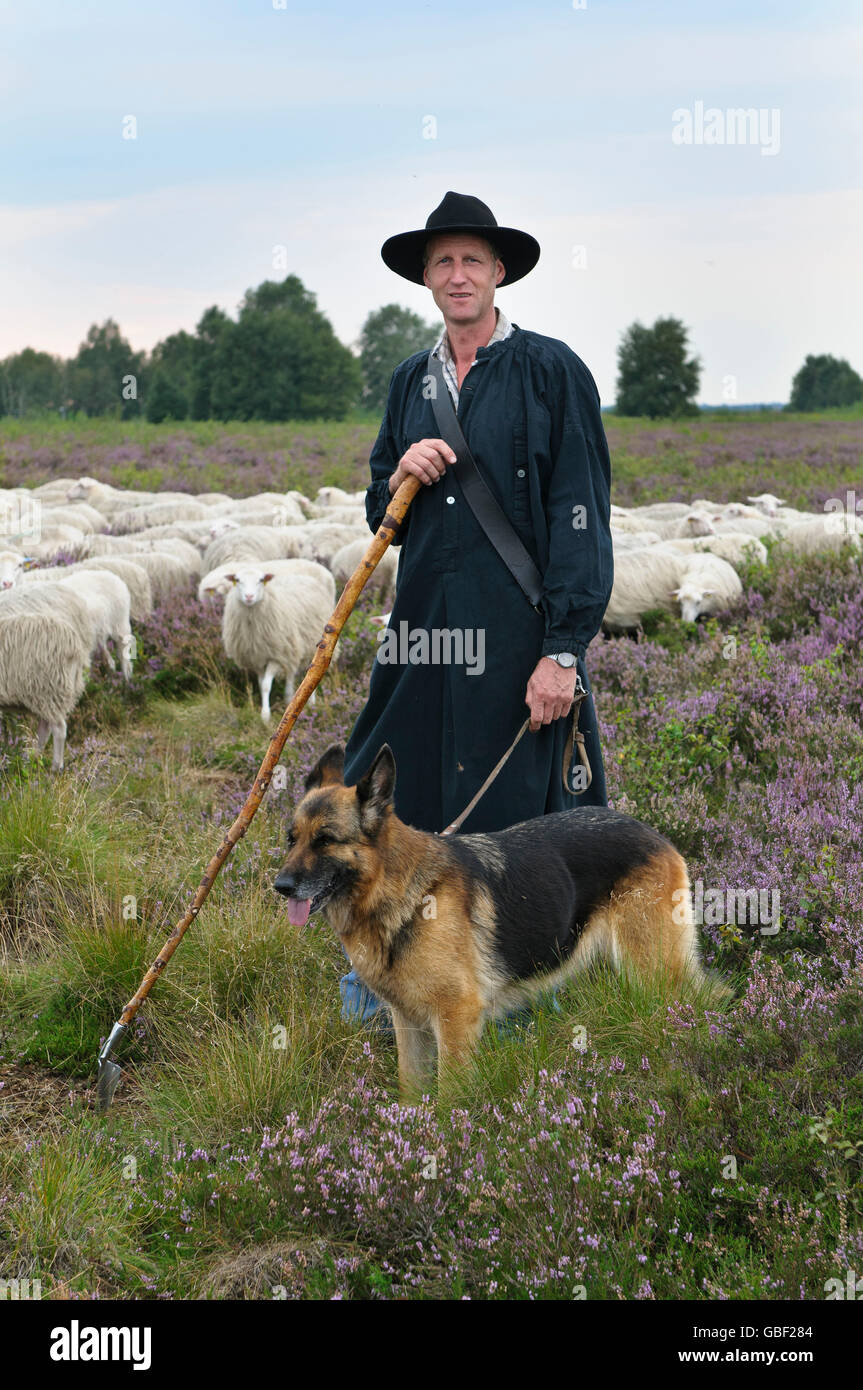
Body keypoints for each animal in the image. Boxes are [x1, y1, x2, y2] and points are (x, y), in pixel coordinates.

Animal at [0, 594, 91, 771]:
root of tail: (74, 645)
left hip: (49, 688)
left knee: (59, 729)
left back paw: (55, 767)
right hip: (45, 694)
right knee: (45, 728)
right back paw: (32, 760)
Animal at [221, 564, 337, 721]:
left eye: (261, 580)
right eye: (237, 580)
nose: (249, 597)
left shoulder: (276, 656)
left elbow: (266, 685)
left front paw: (265, 715)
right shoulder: (257, 659)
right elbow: (261, 684)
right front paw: (265, 712)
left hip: (307, 644)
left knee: (309, 672)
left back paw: (308, 702)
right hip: (293, 646)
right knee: (291, 671)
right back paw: (290, 698)